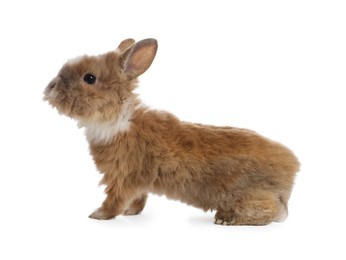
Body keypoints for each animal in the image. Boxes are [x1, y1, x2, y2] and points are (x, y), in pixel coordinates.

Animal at [44, 37, 300, 224]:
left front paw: (99, 215)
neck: (119, 119)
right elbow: (139, 199)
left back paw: (226, 219)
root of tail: (293, 167)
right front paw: (131, 212)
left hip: (246, 195)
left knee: (274, 211)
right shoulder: (138, 182)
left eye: (89, 78)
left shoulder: (123, 176)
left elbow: (115, 199)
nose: (50, 88)